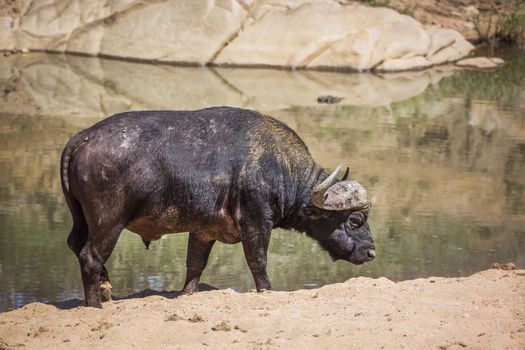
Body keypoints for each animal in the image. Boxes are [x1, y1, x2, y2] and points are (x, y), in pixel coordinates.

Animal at [60, 106, 372, 306]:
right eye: (355, 219)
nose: (371, 251)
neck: (278, 165)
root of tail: (87, 135)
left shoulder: (202, 231)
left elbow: (194, 266)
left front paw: (186, 294)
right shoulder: (256, 223)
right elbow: (258, 262)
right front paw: (267, 291)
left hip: (82, 221)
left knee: (76, 245)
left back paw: (104, 290)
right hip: (109, 223)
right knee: (90, 256)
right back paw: (96, 304)